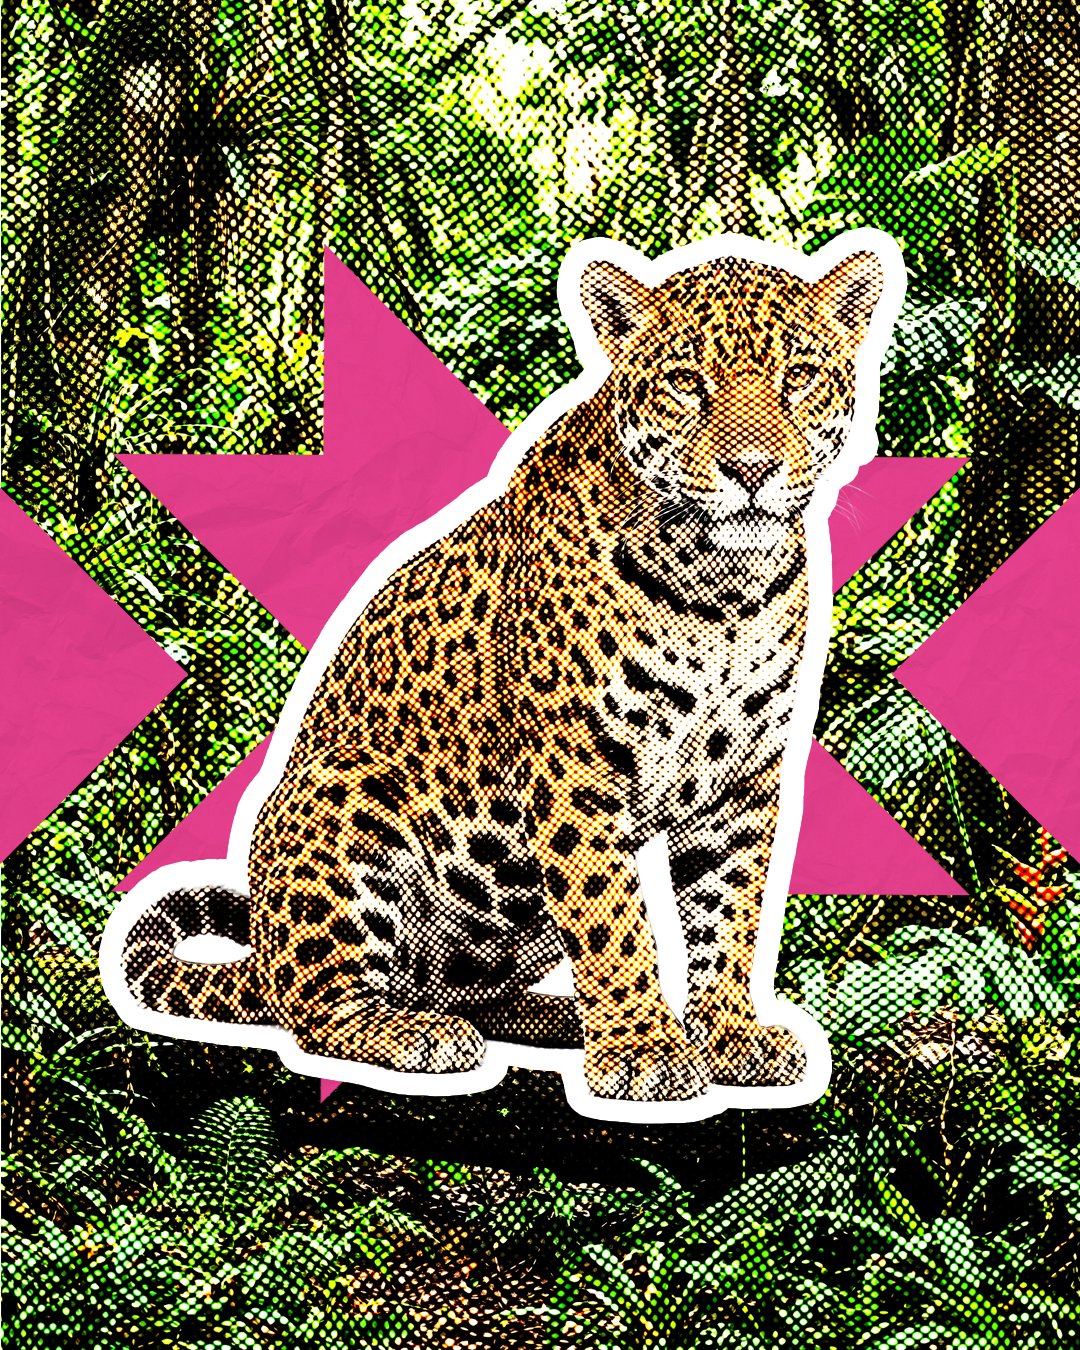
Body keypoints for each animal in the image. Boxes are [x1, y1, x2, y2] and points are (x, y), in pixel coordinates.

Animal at [121, 244, 884, 1102]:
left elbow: (731, 914)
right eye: (687, 381)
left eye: (801, 377)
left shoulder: (745, 782)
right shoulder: (576, 767)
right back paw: (415, 1033)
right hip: (345, 801)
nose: (751, 470)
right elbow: (613, 916)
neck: (720, 589)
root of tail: (261, 956)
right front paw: (645, 1049)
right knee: (314, 1004)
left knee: (466, 991)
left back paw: (557, 1019)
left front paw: (729, 1033)